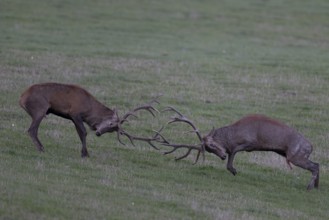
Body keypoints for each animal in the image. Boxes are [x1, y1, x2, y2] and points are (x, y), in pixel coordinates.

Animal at [18, 82, 160, 156]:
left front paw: (84, 152)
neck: (88, 110)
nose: (98, 133)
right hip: (40, 109)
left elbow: (80, 133)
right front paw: (85, 154)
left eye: (111, 130)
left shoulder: (73, 117)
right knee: (32, 129)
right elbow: (84, 132)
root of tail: (22, 98)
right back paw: (41, 148)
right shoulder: (75, 112)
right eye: (110, 123)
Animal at [158, 106, 320, 189]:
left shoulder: (251, 142)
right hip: (291, 154)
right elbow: (232, 153)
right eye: (210, 150)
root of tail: (311, 146)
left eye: (212, 145)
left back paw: (310, 187)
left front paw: (234, 170)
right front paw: (233, 169)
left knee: (315, 165)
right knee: (317, 164)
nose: (222, 156)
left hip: (295, 155)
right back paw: (316, 186)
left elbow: (234, 151)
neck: (233, 134)